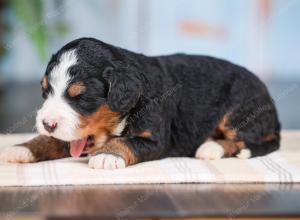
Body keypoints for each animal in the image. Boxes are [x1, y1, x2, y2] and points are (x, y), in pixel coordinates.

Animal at [0, 37, 282, 169]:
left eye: (81, 97)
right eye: (45, 91)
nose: (47, 123)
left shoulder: (155, 139)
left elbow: (127, 141)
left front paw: (108, 155)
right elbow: (53, 140)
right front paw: (22, 148)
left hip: (239, 108)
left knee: (252, 141)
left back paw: (212, 148)